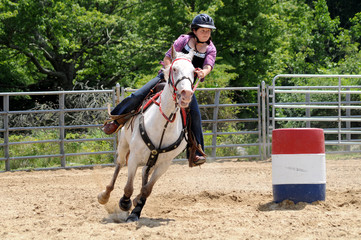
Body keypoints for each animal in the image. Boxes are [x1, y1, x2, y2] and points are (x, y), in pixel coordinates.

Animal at [97, 47, 195, 223]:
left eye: (194, 71)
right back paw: (105, 195)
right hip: (124, 145)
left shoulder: (164, 164)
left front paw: (135, 210)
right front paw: (125, 203)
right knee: (119, 165)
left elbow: (146, 190)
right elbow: (128, 187)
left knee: (144, 174)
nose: (186, 94)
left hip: (151, 161)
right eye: (174, 69)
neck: (163, 125)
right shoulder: (134, 157)